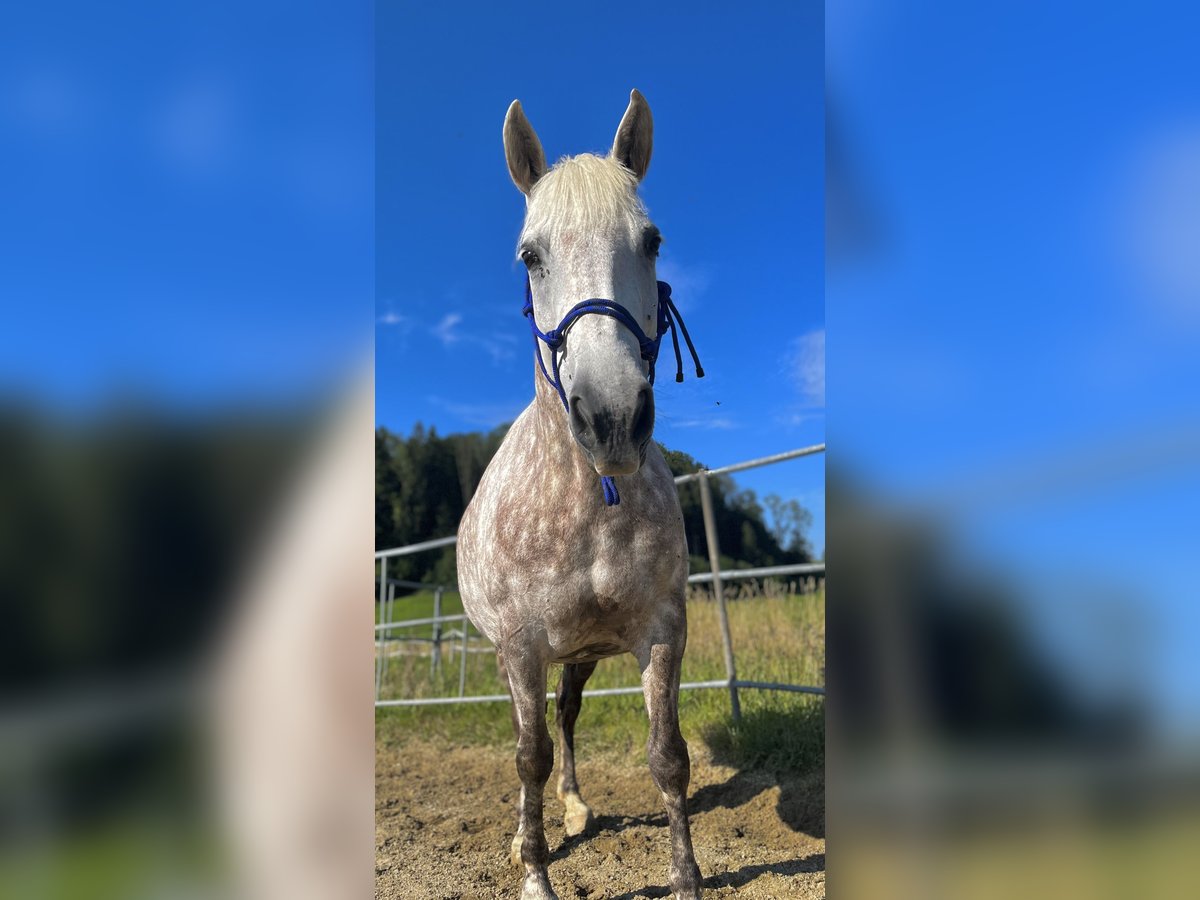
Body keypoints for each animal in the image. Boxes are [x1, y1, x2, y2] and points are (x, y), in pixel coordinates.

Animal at [456, 91, 700, 900]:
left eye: (652, 241)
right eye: (530, 256)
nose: (613, 416)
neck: (590, 501)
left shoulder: (661, 630)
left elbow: (668, 755)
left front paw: (687, 878)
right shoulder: (523, 646)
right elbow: (524, 756)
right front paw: (536, 874)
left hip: (582, 653)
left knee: (564, 719)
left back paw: (575, 807)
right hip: (517, 659)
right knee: (530, 734)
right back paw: (524, 833)